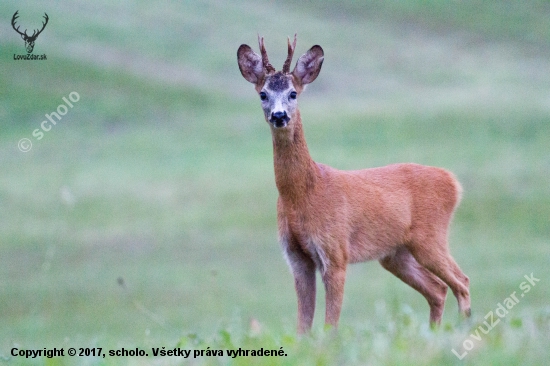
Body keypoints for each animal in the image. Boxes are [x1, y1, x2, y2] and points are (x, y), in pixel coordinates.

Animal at [235, 35, 472, 334]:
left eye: (293, 93)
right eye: (263, 94)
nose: (279, 116)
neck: (304, 194)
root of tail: (453, 182)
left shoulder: (336, 250)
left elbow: (330, 325)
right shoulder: (296, 257)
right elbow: (303, 326)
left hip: (430, 237)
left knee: (462, 282)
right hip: (395, 254)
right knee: (438, 289)